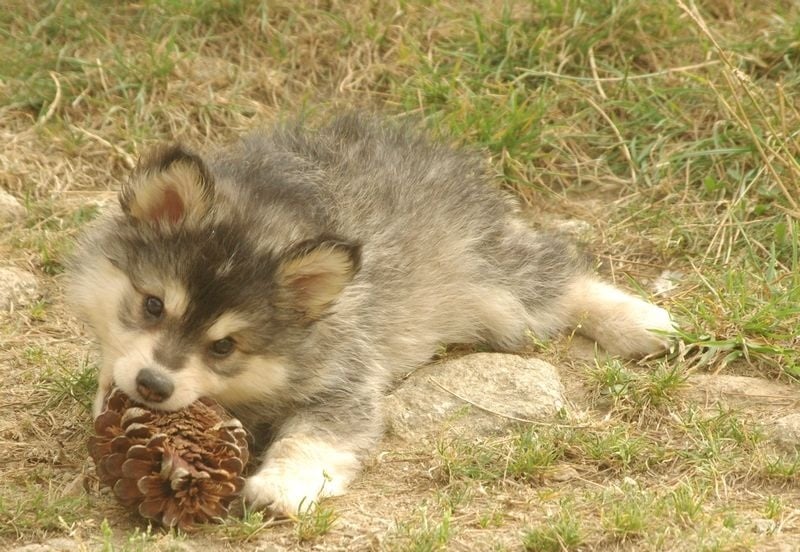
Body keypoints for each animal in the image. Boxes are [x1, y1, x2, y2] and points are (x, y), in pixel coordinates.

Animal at [69, 114, 672, 516]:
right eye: (152, 304)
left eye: (223, 346)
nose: (153, 385)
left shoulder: (345, 381)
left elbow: (313, 437)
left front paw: (282, 484)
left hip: (502, 292)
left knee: (562, 274)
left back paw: (645, 323)